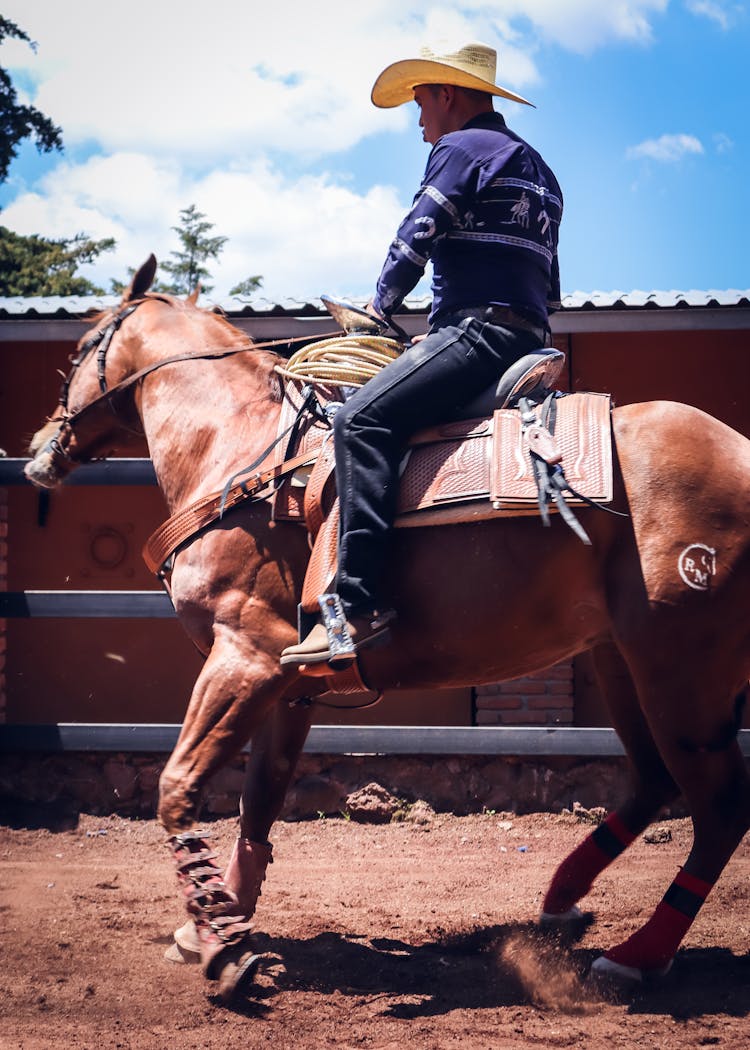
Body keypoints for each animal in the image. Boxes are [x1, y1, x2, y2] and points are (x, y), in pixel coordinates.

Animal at [26, 258, 747, 995]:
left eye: (79, 352)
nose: (40, 444)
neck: (241, 455)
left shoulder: (246, 656)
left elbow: (178, 787)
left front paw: (225, 946)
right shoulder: (287, 688)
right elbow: (259, 802)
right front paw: (218, 920)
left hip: (682, 671)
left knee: (719, 809)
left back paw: (638, 955)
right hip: (622, 661)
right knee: (656, 783)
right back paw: (562, 901)